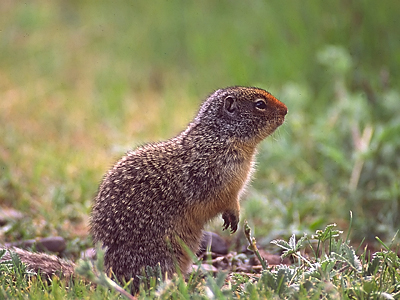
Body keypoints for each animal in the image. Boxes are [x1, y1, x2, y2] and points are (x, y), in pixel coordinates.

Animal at [0, 85, 288, 292]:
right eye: (260, 104)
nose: (285, 110)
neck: (221, 137)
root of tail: (109, 274)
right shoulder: (213, 177)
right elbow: (221, 199)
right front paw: (232, 217)